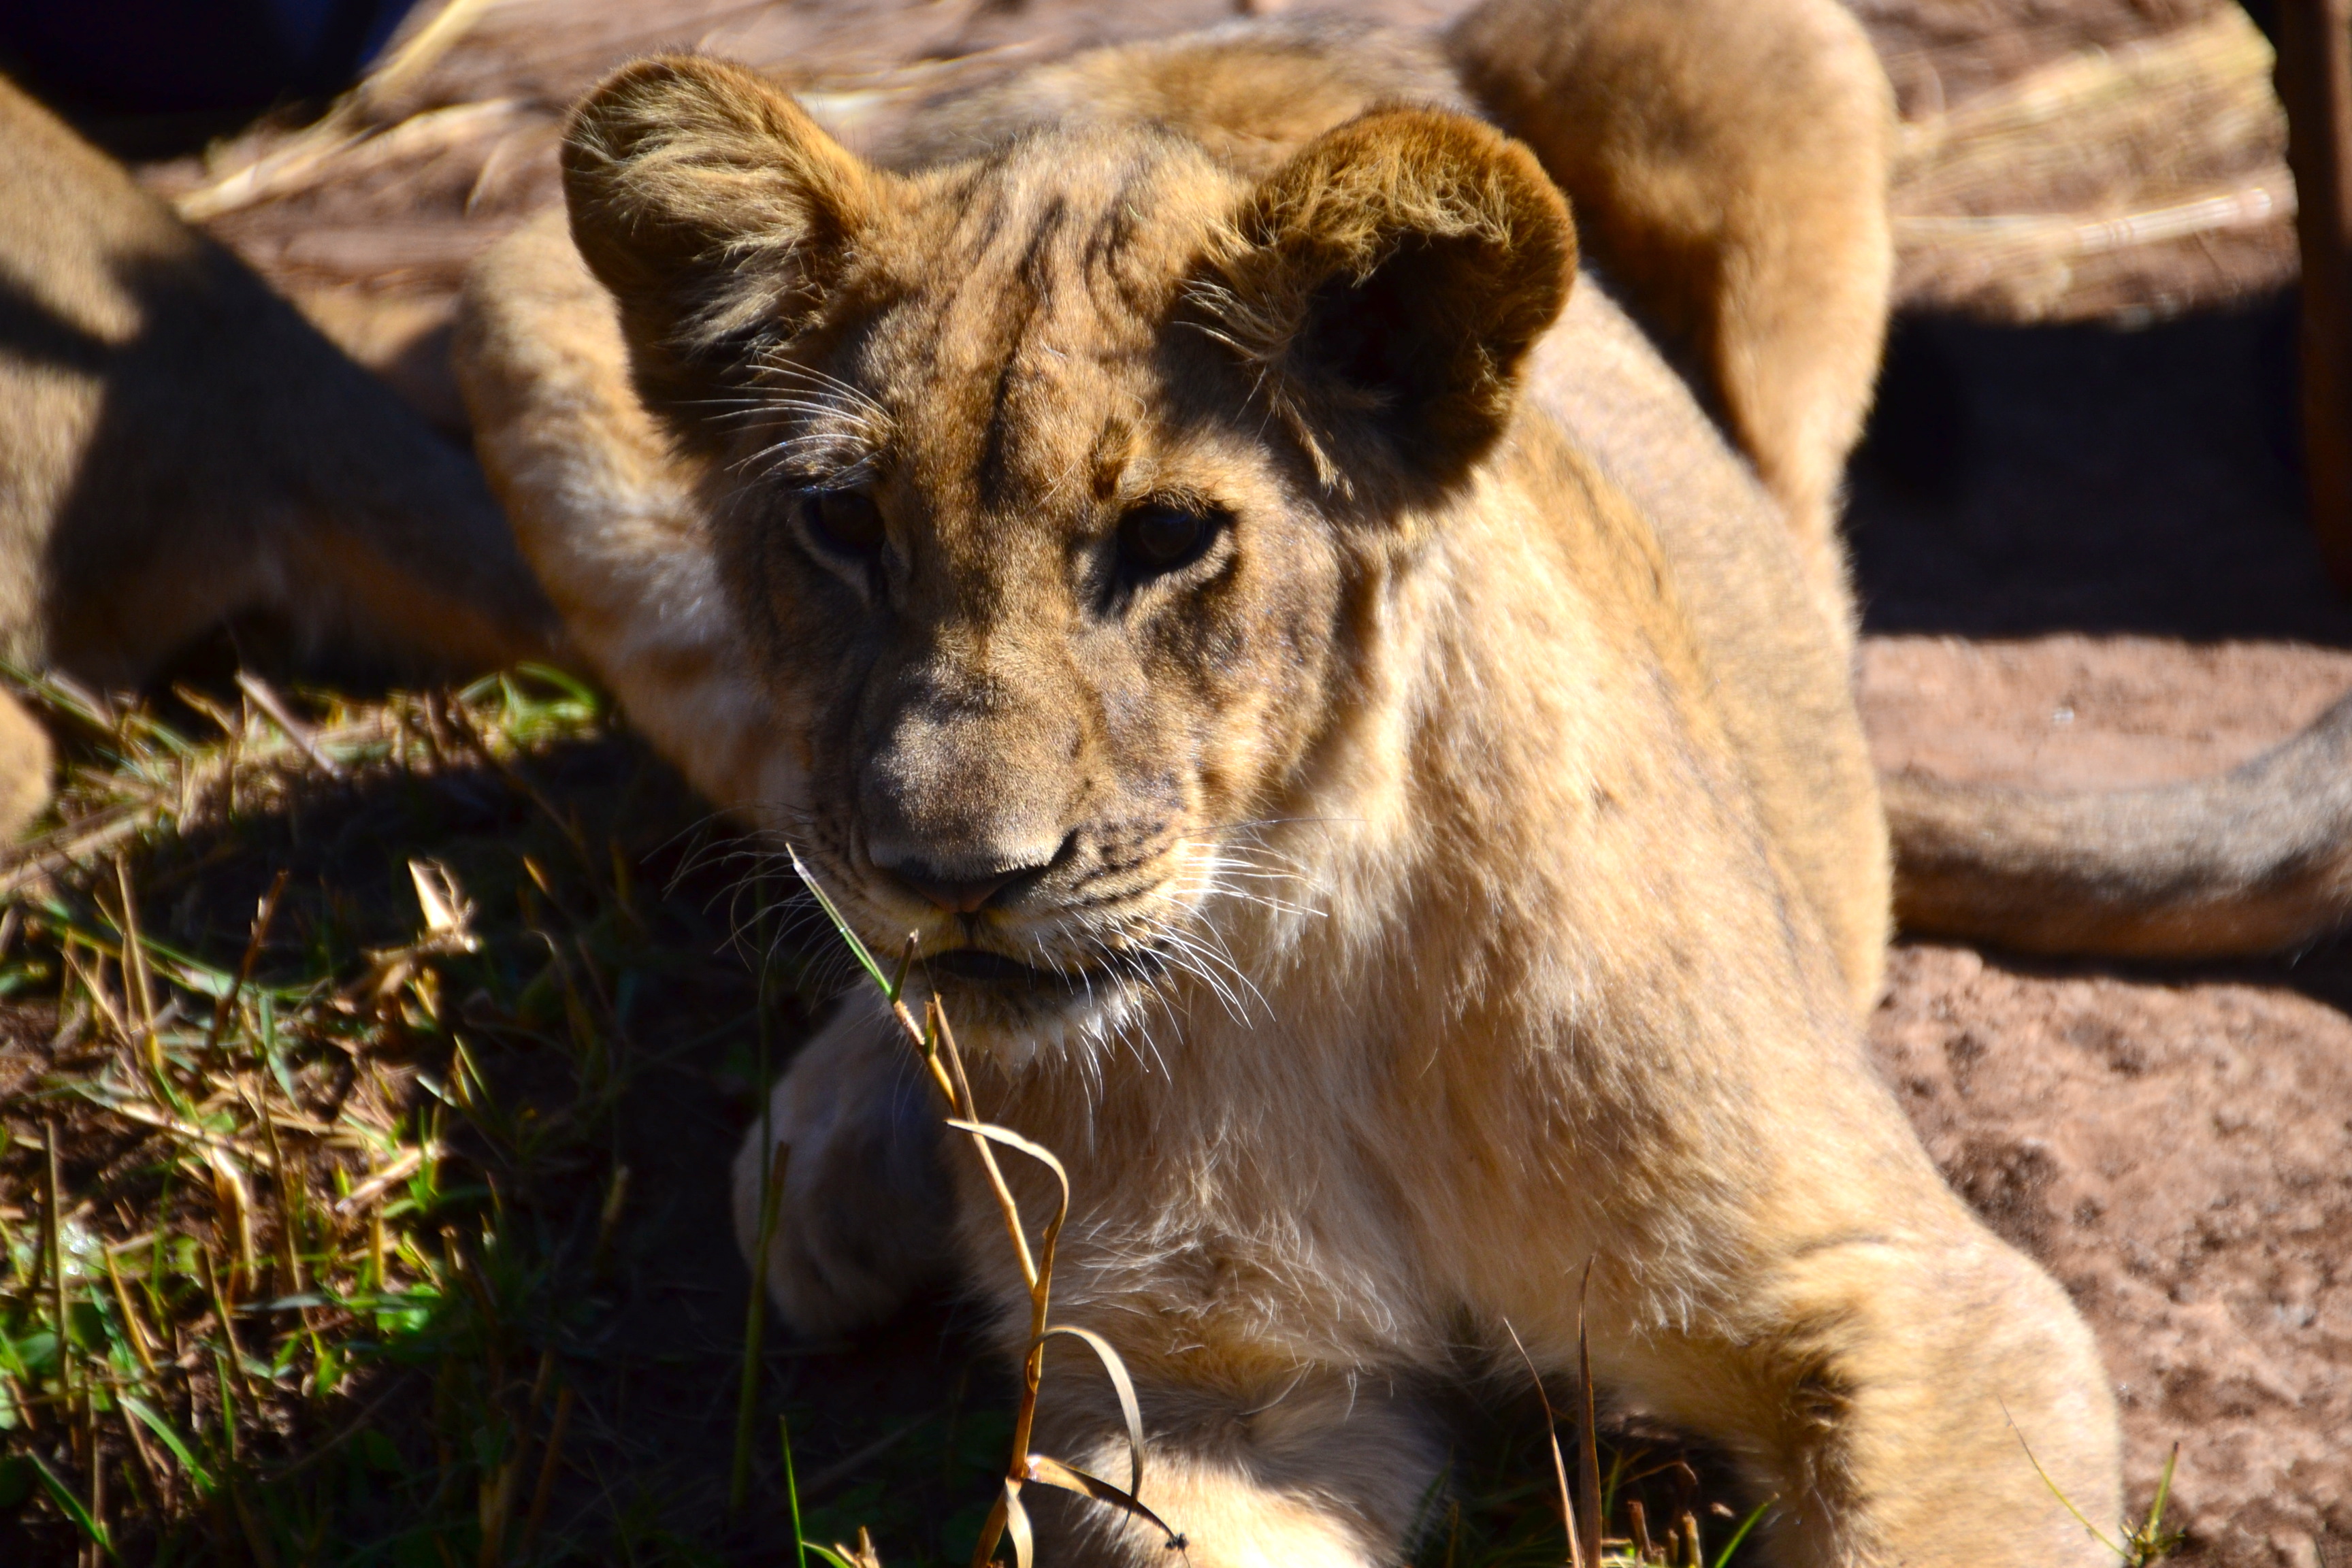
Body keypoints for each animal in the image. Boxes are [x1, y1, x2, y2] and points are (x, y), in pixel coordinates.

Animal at [449, 1, 2132, 1563]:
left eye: (1168, 536)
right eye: (844, 523)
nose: (958, 877)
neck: (1309, 961)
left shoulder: (1914, 1298)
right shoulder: (1212, 1399)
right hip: (516, 310)